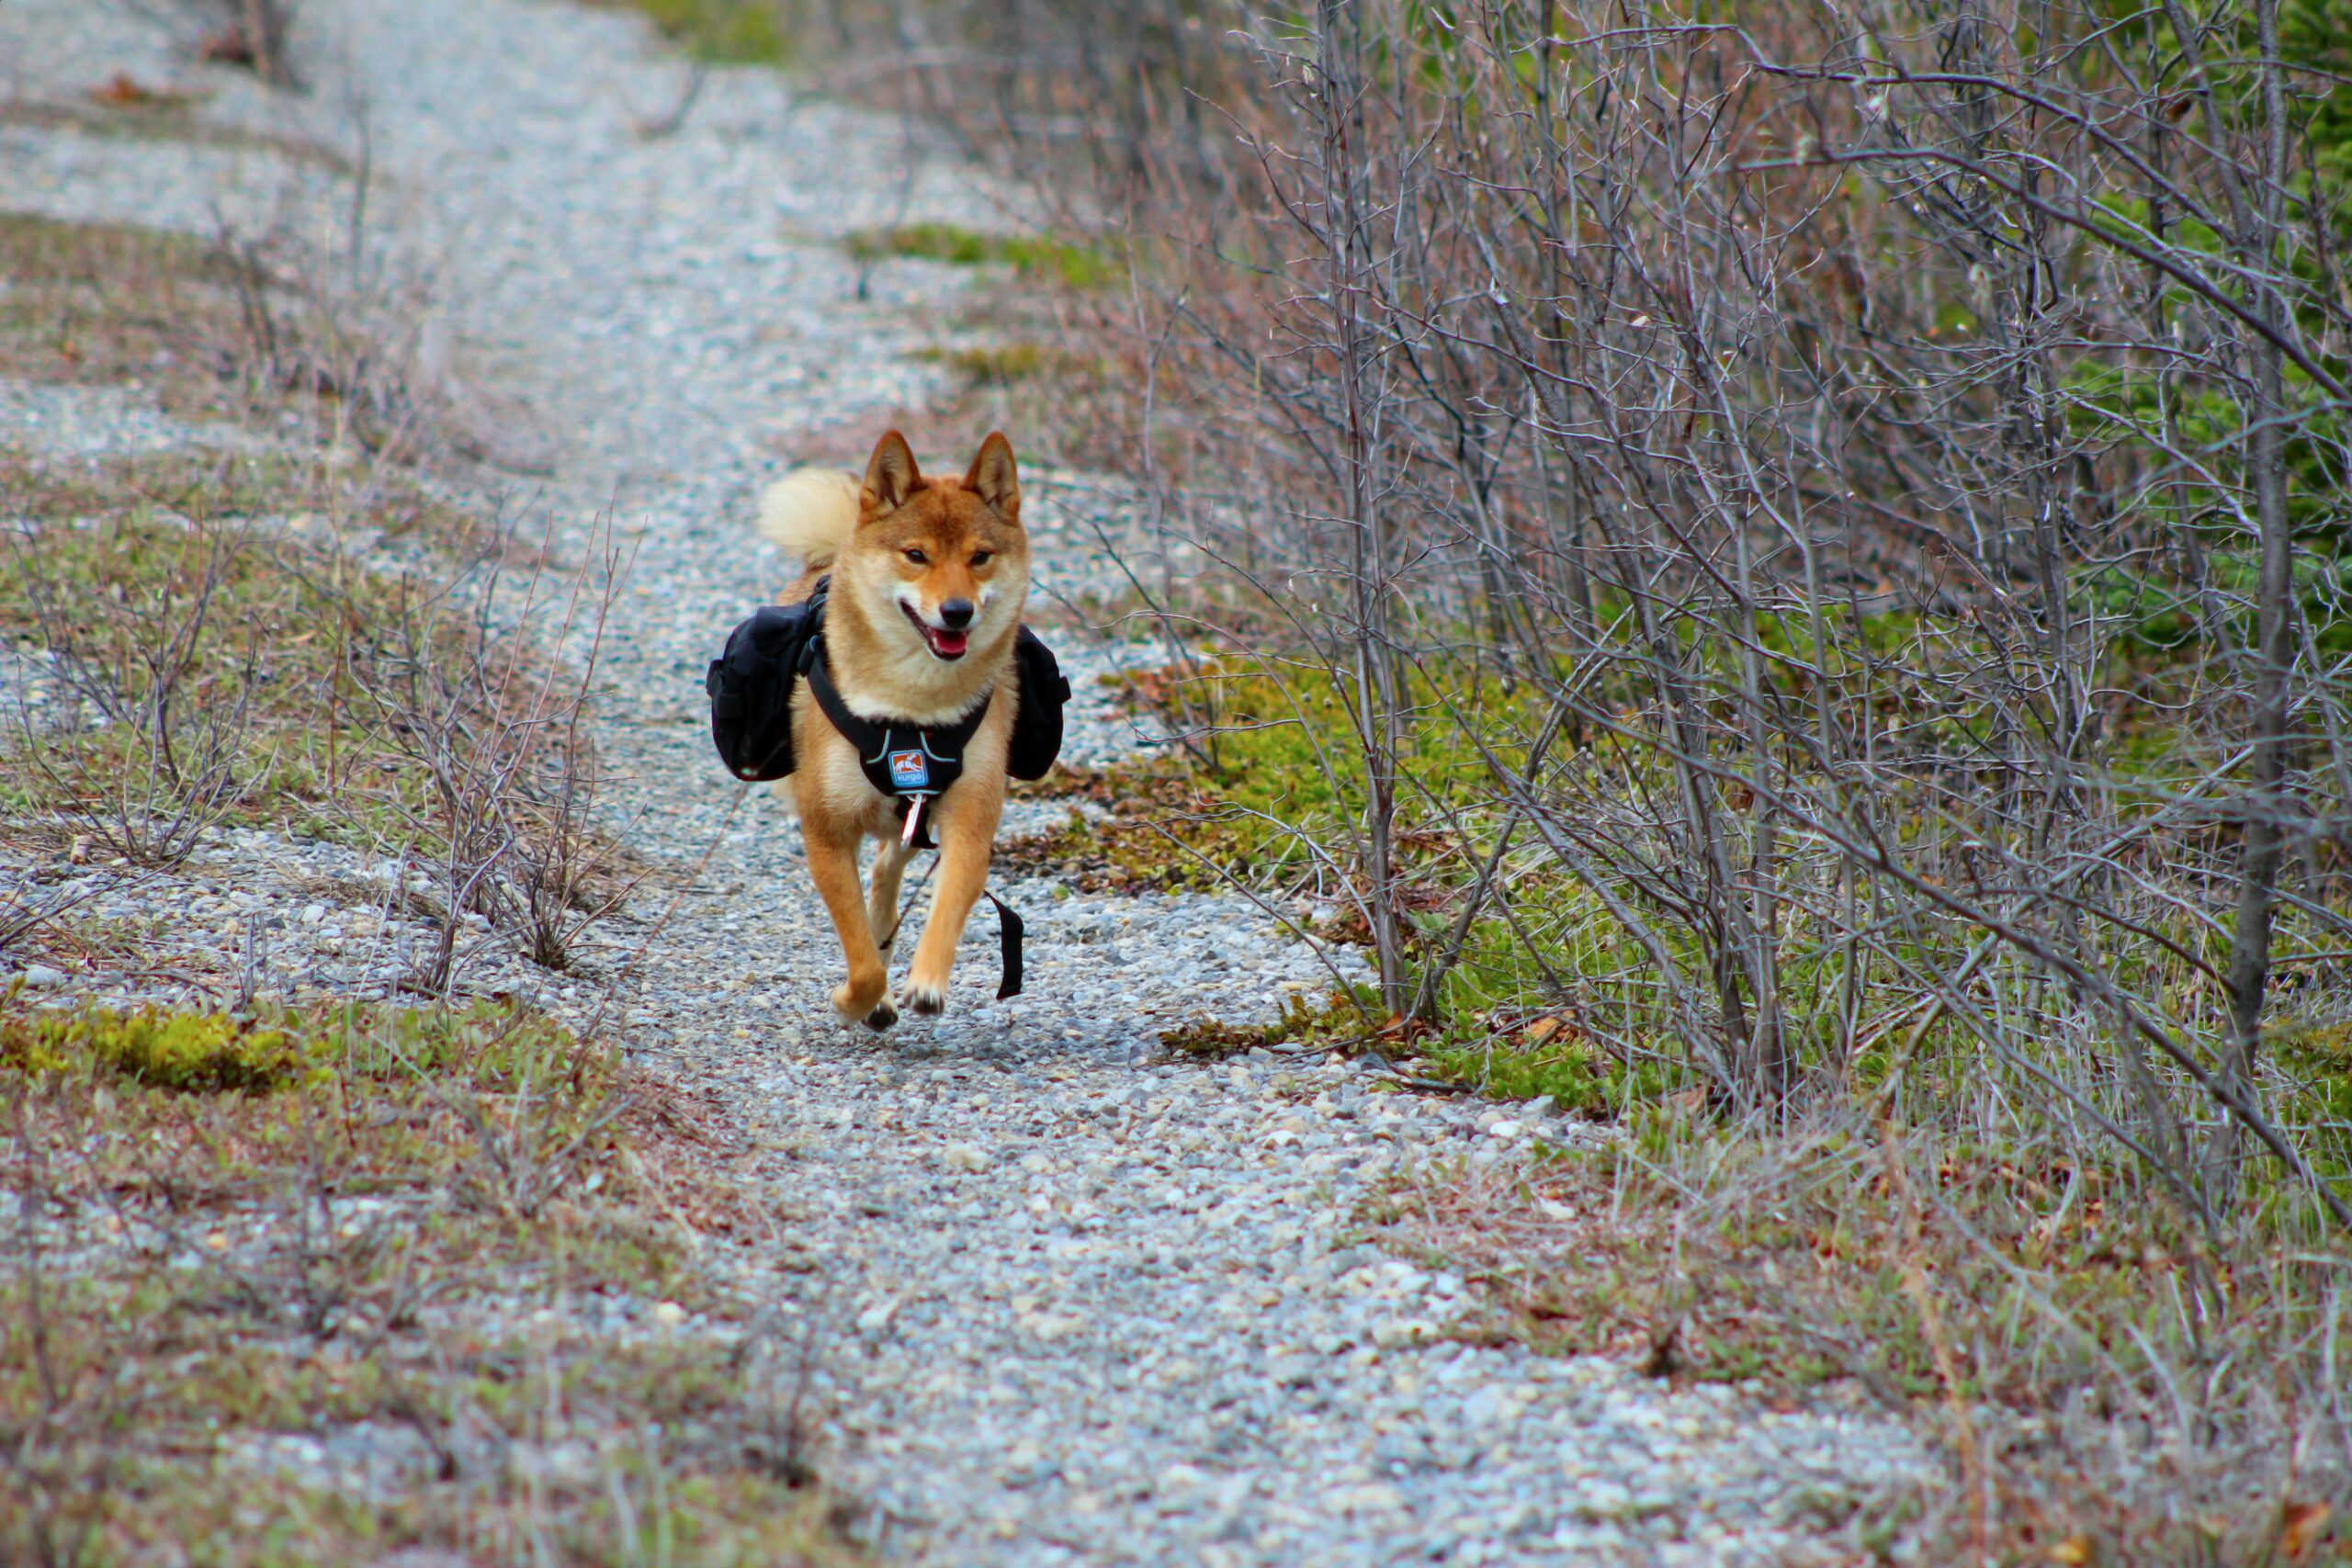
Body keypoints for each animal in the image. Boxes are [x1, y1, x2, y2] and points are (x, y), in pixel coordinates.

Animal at [752, 434, 1030, 1034]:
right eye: (916, 555)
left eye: (979, 557)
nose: (957, 611)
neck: (913, 710)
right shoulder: (827, 833)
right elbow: (859, 956)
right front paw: (854, 1000)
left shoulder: (970, 823)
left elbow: (946, 910)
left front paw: (927, 982)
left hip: (912, 820)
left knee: (885, 873)